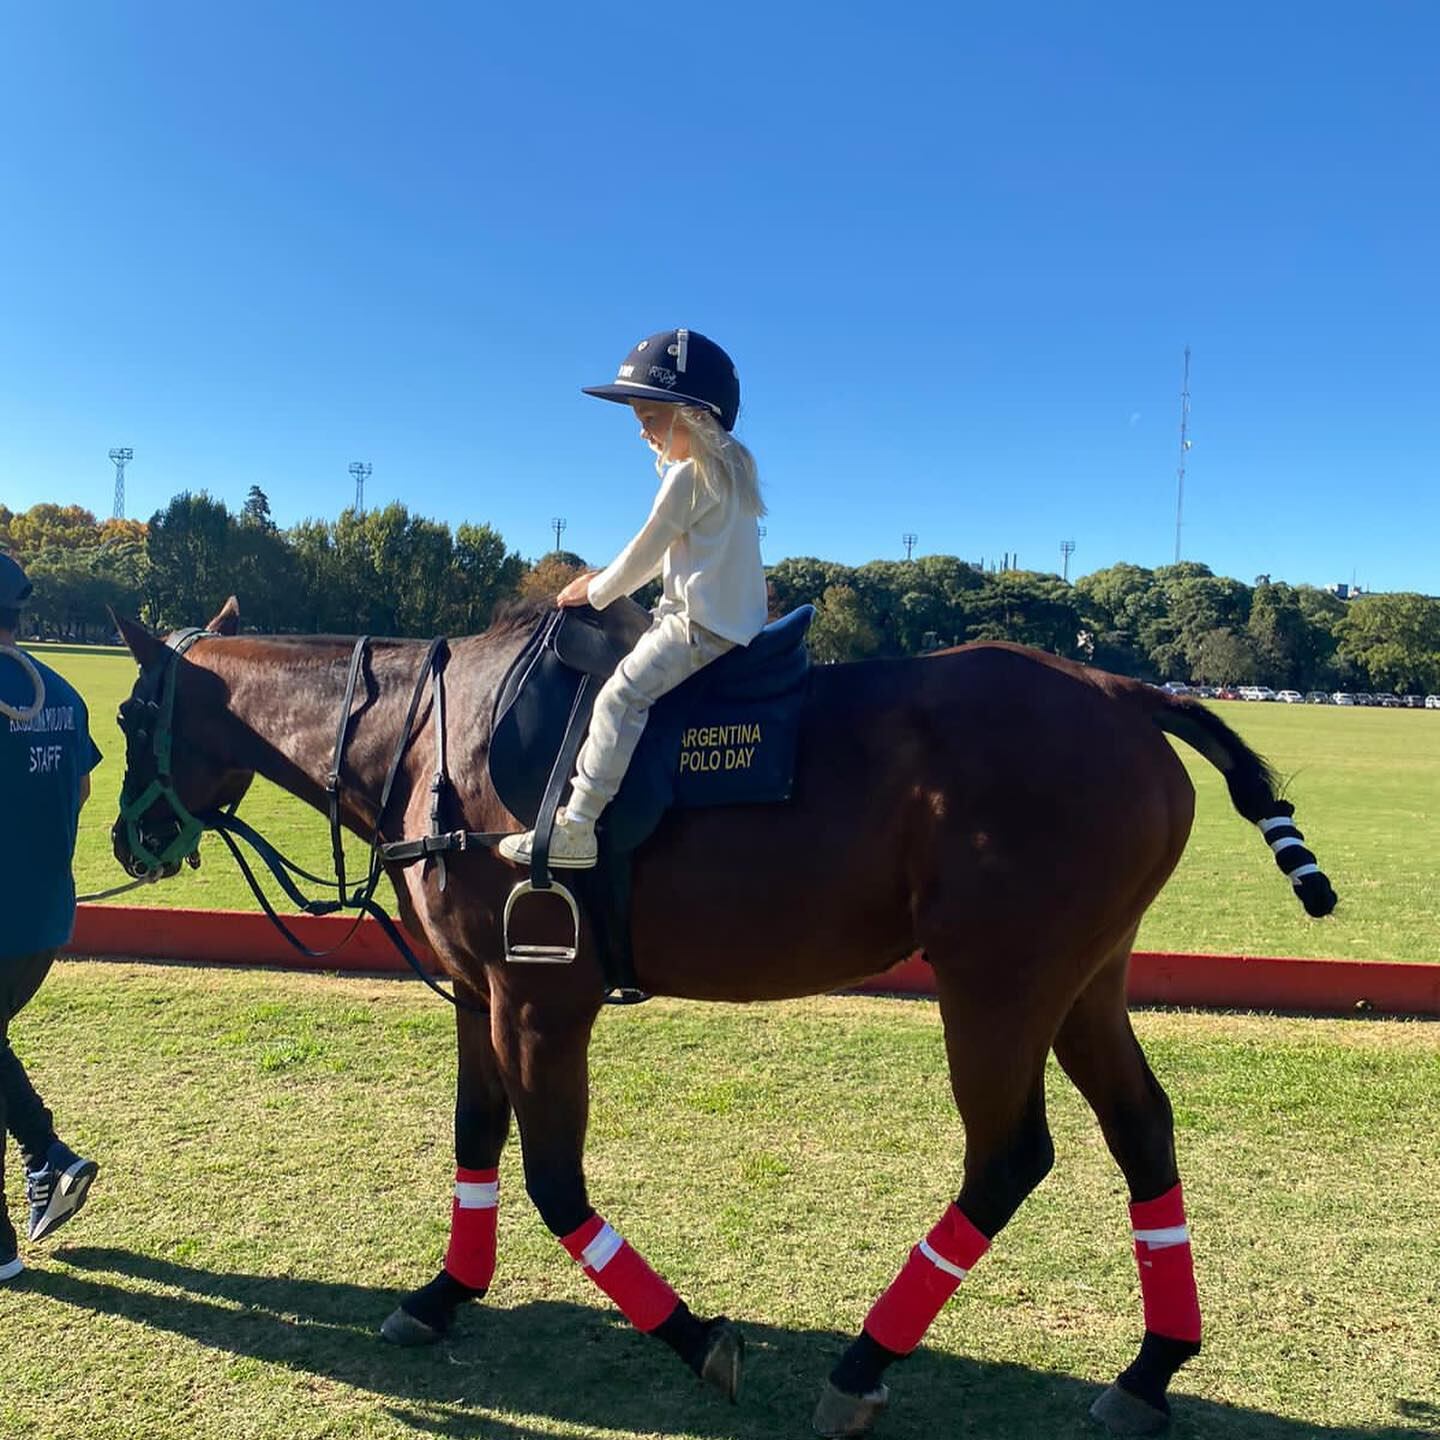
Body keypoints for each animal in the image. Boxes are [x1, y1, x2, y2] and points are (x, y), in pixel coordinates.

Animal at [115, 590, 1336, 1434]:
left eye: (127, 714)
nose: (130, 840)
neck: (425, 742)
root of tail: (1130, 692)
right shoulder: (476, 991)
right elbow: (474, 1142)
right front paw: (442, 1295)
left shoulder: (541, 999)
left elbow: (555, 1182)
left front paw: (696, 1338)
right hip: (1084, 977)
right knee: (1142, 1129)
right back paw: (1150, 1370)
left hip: (996, 980)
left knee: (1009, 1155)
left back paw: (862, 1365)